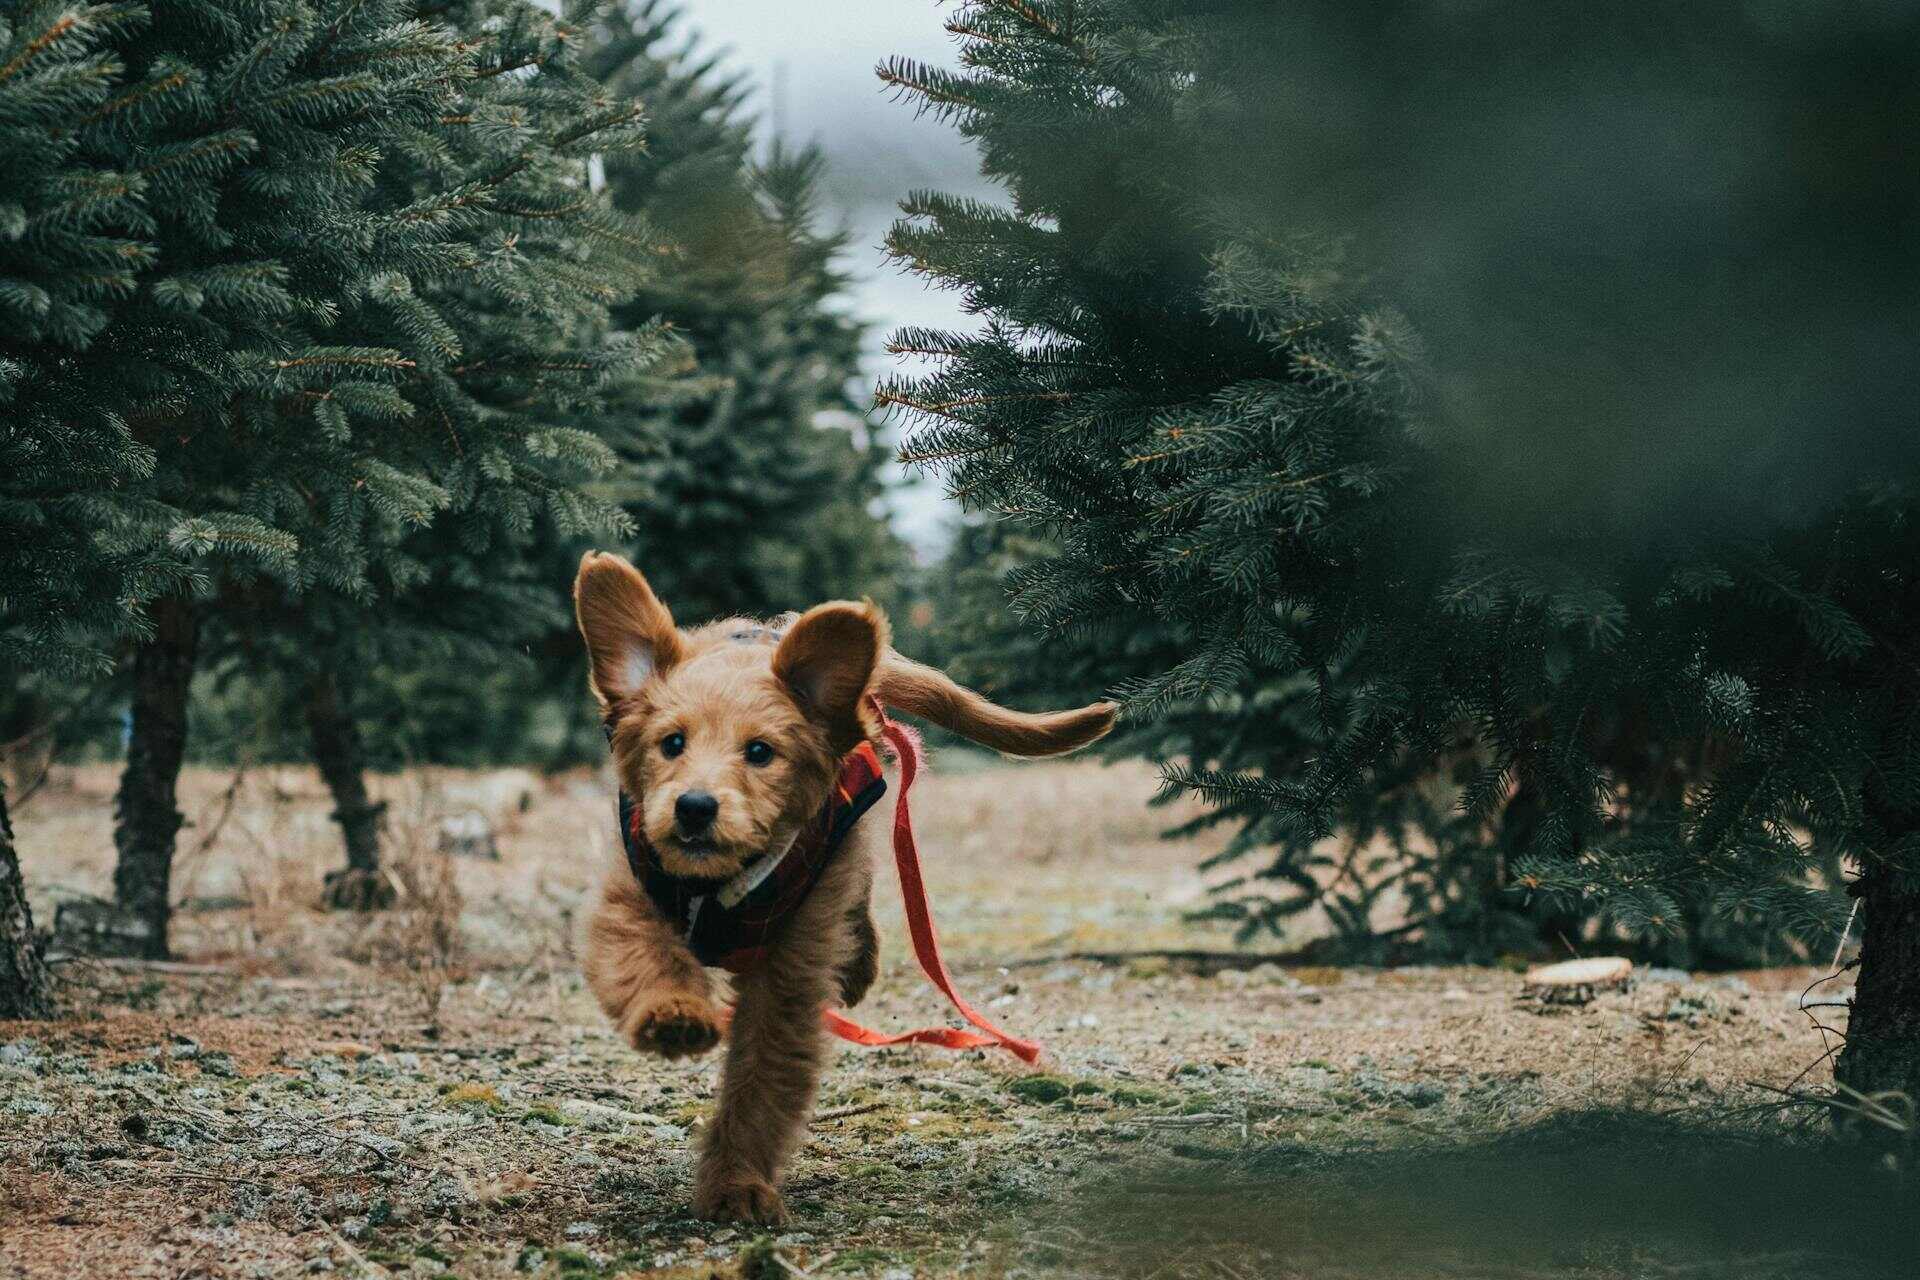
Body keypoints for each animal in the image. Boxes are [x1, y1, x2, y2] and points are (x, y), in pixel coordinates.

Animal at [568, 548, 1113, 1220]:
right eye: (672, 743)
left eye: (760, 753)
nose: (694, 808)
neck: (722, 882)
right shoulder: (629, 893)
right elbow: (645, 958)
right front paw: (674, 1015)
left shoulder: (790, 973)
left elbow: (760, 1082)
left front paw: (735, 1184)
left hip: (844, 854)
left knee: (862, 894)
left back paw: (858, 965)